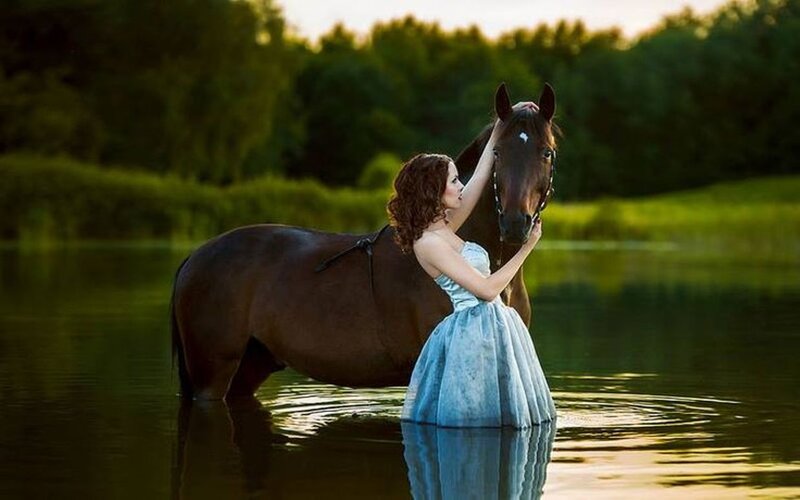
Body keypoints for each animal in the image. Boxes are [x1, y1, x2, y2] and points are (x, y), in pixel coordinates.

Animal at [171, 83, 558, 400]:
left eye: (546, 152)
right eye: (497, 153)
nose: (515, 223)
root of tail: (194, 257)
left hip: (252, 365)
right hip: (212, 374)